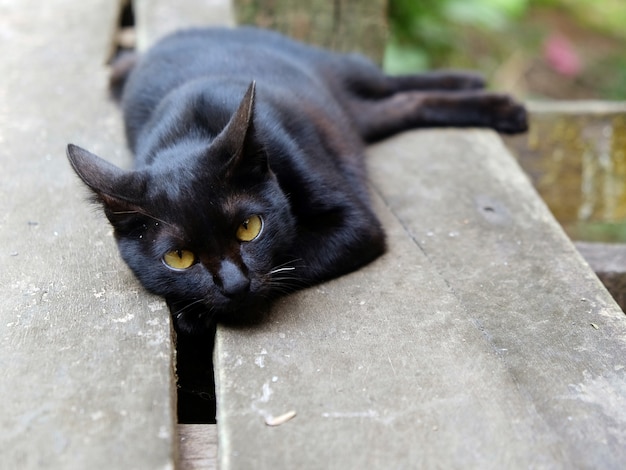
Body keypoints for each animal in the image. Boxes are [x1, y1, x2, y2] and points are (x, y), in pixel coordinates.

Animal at [67, 26, 528, 334]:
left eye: (250, 228)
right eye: (179, 257)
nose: (235, 285)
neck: (190, 129)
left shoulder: (356, 223)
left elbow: (295, 256)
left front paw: (203, 313)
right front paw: (195, 311)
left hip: (341, 68)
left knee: (391, 82)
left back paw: (490, 95)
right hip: (352, 117)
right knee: (402, 104)